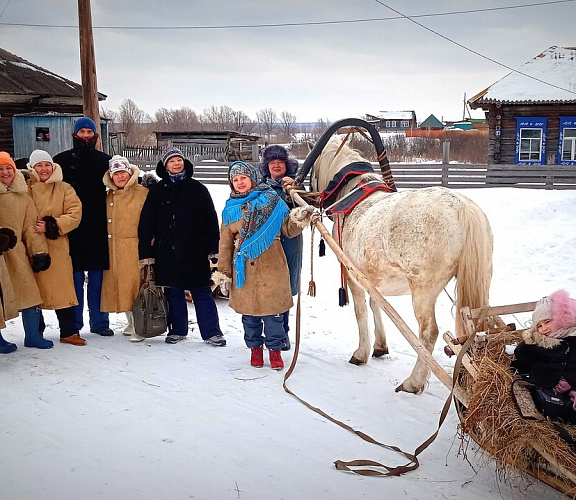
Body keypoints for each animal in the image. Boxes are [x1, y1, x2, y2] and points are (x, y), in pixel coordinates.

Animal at [308, 138, 492, 394]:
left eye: (312, 172)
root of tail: (461, 207)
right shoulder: (372, 275)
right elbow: (377, 304)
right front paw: (380, 346)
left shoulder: (354, 276)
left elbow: (360, 311)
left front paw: (361, 353)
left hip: (423, 291)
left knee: (429, 332)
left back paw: (413, 382)